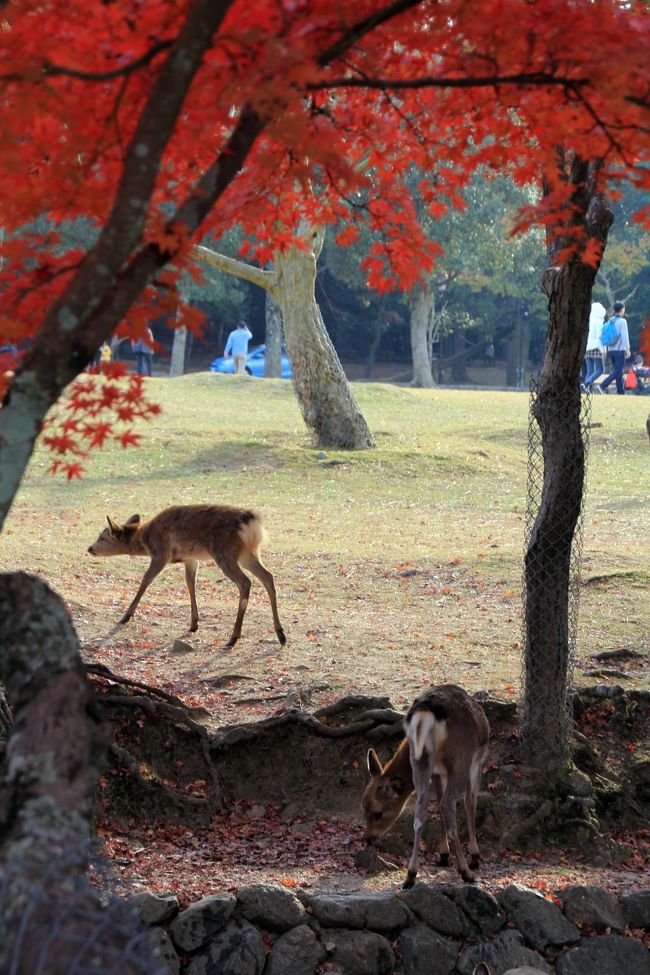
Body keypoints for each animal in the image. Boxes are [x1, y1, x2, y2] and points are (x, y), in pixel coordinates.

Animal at [87, 504, 286, 649]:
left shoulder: (161, 553)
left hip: (225, 553)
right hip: (248, 554)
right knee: (268, 577)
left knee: (245, 582)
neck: (144, 540)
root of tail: (253, 523)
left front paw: (125, 616)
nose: (90, 548)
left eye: (103, 537)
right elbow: (190, 583)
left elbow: (146, 580)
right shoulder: (191, 558)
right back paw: (281, 634)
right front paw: (193, 623)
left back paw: (233, 638)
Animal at [362, 684, 488, 888]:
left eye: (377, 812)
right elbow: (470, 803)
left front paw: (444, 855)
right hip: (461, 757)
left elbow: (437, 805)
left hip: (419, 759)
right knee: (448, 804)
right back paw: (466, 872)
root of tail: (424, 715)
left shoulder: (437, 772)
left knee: (421, 811)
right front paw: (475, 857)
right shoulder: (476, 762)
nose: (368, 839)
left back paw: (411, 875)